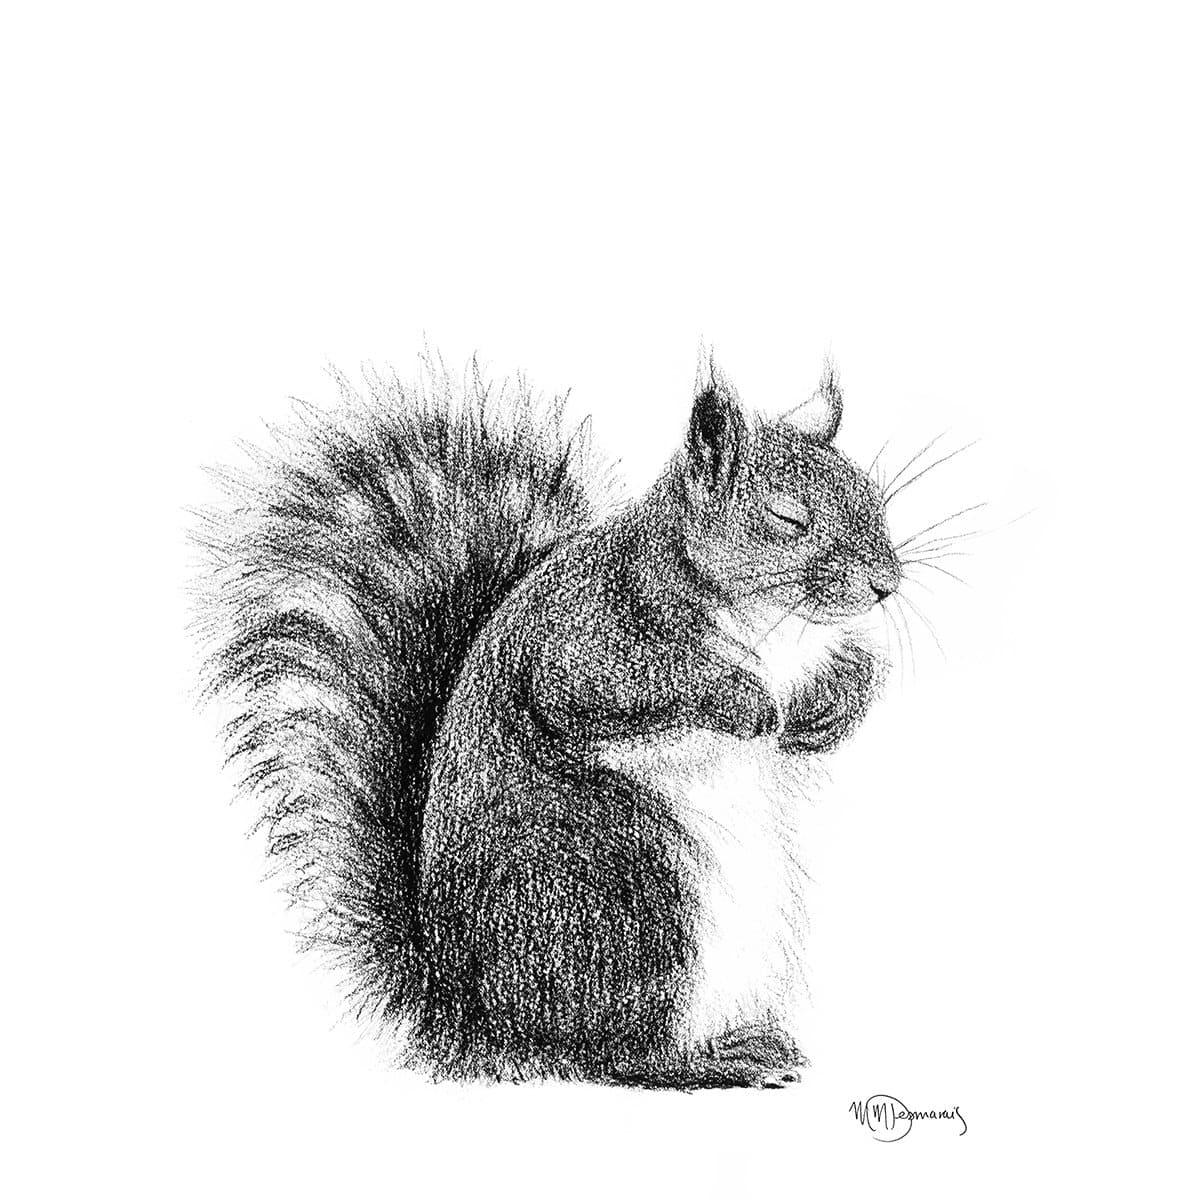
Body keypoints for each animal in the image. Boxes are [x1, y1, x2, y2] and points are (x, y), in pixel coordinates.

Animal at [196, 356, 901, 1089]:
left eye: (874, 500)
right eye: (787, 518)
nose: (888, 583)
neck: (773, 626)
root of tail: (470, 1014)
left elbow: (844, 680)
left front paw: (834, 707)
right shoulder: (586, 639)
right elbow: (610, 687)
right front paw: (744, 700)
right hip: (617, 897)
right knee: (612, 1052)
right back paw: (714, 1061)